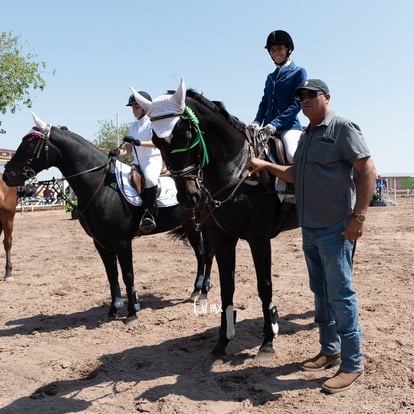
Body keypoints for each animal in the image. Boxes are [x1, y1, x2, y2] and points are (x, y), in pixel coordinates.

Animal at [4, 113, 213, 324]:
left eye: (31, 144)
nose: (7, 176)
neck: (101, 186)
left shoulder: (122, 241)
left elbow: (128, 274)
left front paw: (132, 312)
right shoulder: (100, 242)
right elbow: (111, 275)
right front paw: (114, 309)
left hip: (204, 225)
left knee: (208, 254)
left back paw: (203, 291)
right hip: (190, 225)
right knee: (200, 254)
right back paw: (196, 291)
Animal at [133, 81, 298, 360]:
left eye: (187, 134)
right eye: (155, 140)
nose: (188, 196)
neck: (237, 168)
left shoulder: (259, 238)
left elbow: (264, 285)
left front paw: (267, 341)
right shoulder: (221, 237)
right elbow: (226, 287)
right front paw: (222, 342)